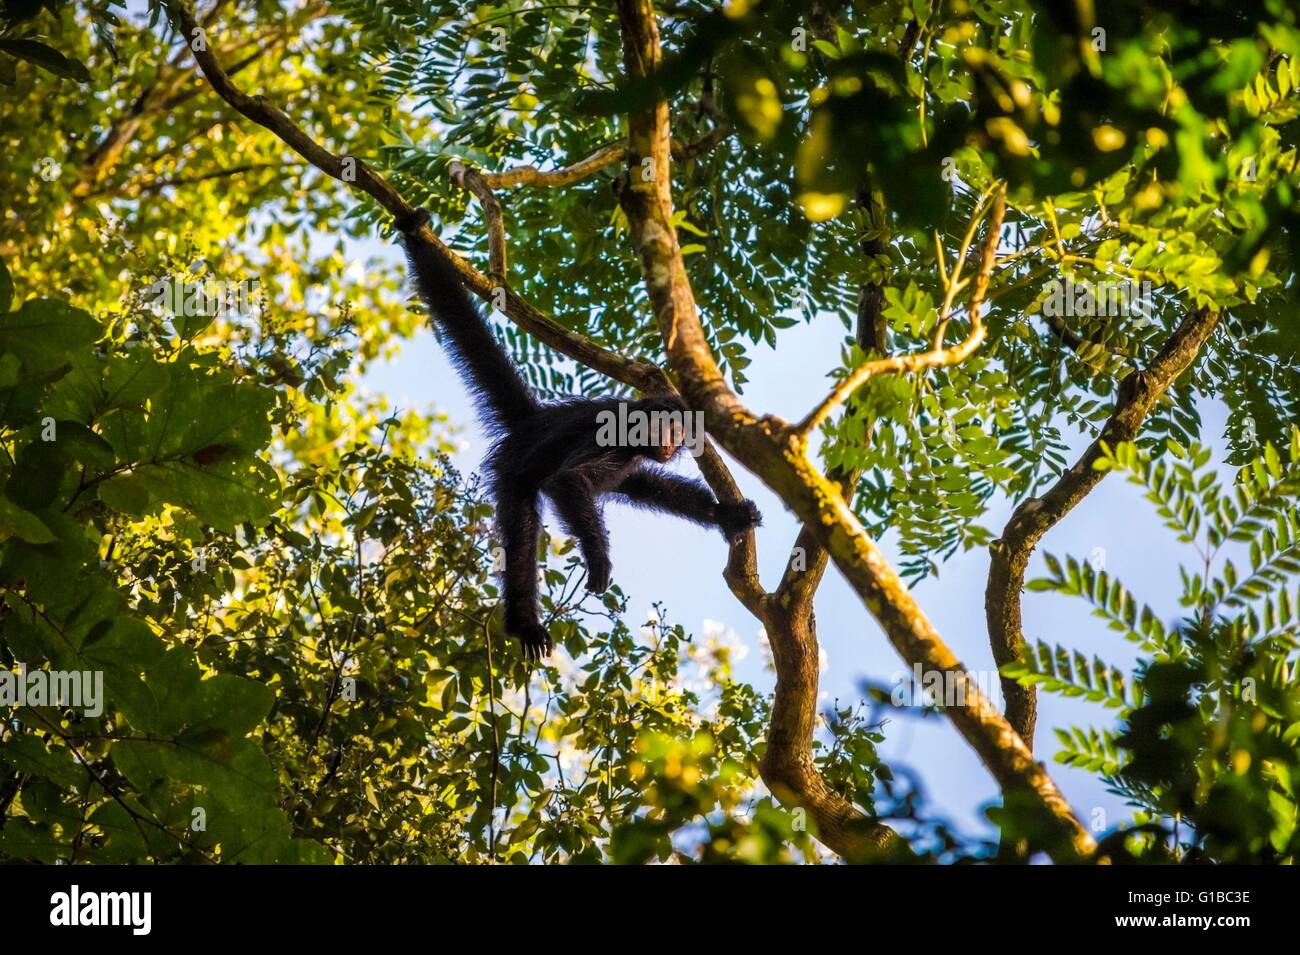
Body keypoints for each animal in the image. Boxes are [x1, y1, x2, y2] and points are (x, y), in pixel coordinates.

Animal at [395, 207, 759, 657]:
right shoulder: (615, 433)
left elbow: (642, 483)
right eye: (668, 425)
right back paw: (523, 621)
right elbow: (567, 481)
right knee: (523, 530)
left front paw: (728, 514)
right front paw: (599, 561)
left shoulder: (633, 450)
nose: (673, 439)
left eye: (679, 431)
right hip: (513, 473)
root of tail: (533, 422)